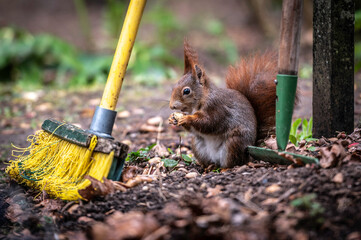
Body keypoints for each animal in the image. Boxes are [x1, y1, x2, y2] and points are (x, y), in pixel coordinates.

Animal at [168, 40, 276, 168]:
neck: (203, 98)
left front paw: (187, 118)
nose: (172, 106)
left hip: (234, 143)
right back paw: (208, 166)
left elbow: (210, 122)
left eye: (186, 91)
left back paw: (225, 168)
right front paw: (173, 118)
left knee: (231, 163)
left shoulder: (217, 107)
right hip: (198, 144)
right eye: (174, 86)